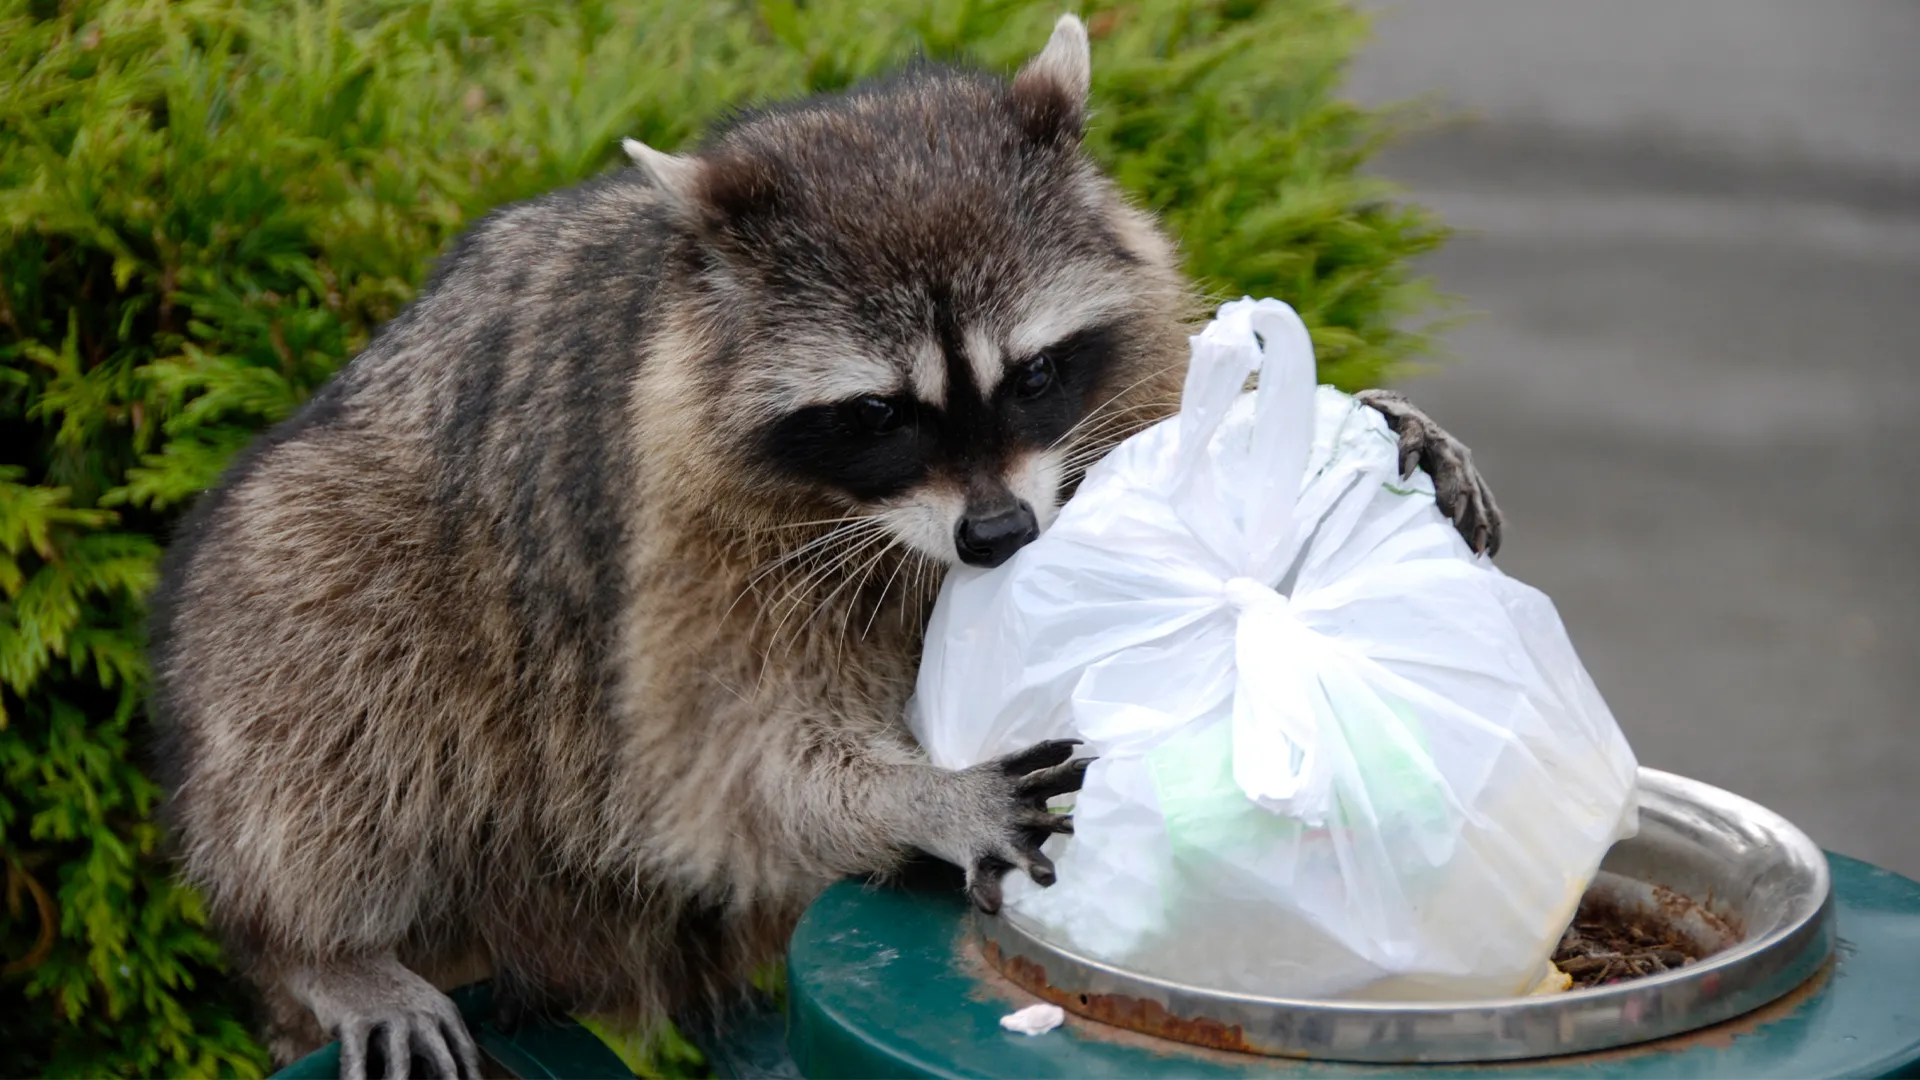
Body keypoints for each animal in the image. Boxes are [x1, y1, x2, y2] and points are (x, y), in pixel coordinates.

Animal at [148, 16, 1501, 1078]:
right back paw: (322, 944)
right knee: (325, 666)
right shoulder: (681, 543)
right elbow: (722, 764)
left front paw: (1363, 424)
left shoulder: (1117, 379)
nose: (999, 535)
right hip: (327, 557)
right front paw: (924, 794)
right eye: (879, 415)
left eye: (1034, 377)